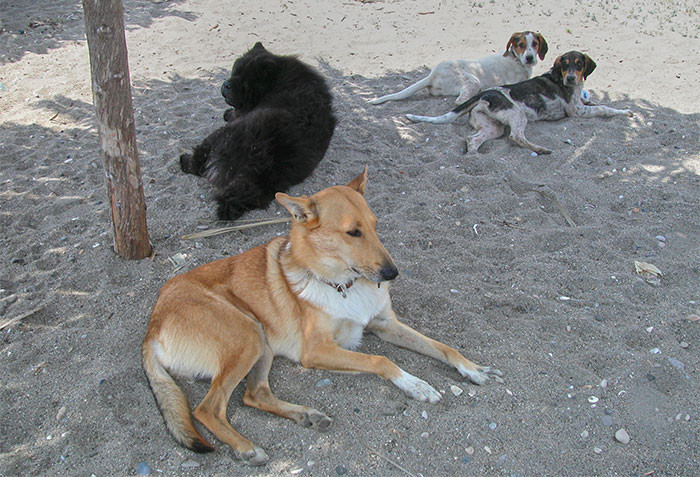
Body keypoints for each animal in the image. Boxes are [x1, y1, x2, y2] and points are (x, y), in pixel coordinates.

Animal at [144, 168, 504, 464]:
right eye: (353, 232)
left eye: (375, 225)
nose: (392, 274)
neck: (344, 284)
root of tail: (152, 326)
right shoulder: (316, 350)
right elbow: (381, 361)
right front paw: (416, 384)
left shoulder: (386, 325)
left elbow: (443, 347)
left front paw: (472, 369)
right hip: (248, 333)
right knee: (207, 408)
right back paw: (246, 447)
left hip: (261, 342)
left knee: (253, 394)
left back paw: (305, 415)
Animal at [179, 41, 334, 220]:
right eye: (234, 71)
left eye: (245, 81)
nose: (226, 84)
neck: (278, 79)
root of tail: (261, 155)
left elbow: (236, 112)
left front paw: (228, 113)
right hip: (271, 183)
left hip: (219, 136)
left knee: (198, 161)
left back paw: (184, 160)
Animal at [370, 31, 548, 106]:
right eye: (521, 45)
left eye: (535, 44)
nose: (530, 58)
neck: (517, 60)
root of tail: (432, 75)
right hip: (473, 80)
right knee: (459, 101)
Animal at [404, 50, 636, 154]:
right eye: (565, 64)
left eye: (579, 64)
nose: (570, 78)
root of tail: (483, 94)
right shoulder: (576, 110)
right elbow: (604, 108)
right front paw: (624, 112)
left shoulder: (581, 104)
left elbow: (597, 103)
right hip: (517, 115)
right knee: (515, 137)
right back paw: (540, 149)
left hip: (491, 126)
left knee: (473, 139)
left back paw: (475, 156)